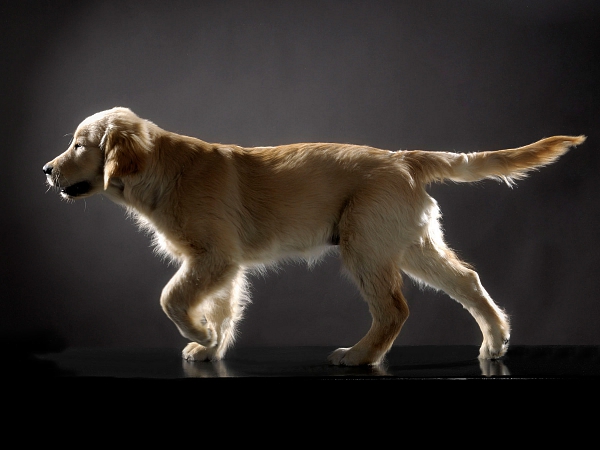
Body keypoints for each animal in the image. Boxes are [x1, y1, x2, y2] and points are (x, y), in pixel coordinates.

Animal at [43, 108, 584, 366]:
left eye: (79, 146)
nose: (46, 170)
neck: (163, 170)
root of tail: (404, 158)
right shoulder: (224, 264)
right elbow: (223, 306)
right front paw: (211, 346)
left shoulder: (213, 256)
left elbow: (171, 297)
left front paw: (197, 333)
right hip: (408, 243)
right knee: (467, 280)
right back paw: (495, 341)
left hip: (364, 243)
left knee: (394, 309)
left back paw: (360, 356)